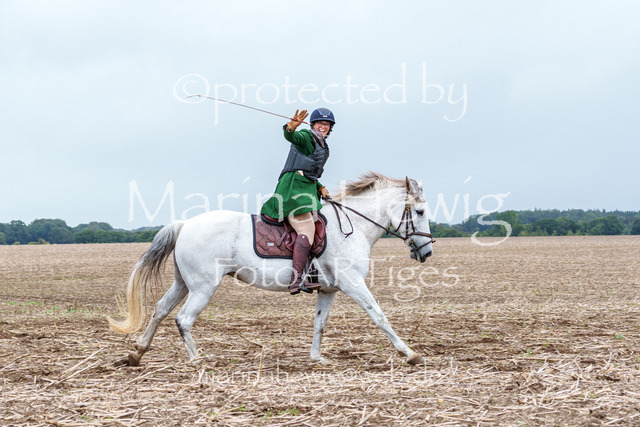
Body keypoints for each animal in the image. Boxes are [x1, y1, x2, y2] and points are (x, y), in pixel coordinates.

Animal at [108, 172, 434, 366]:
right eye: (419, 211)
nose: (427, 252)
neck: (352, 227)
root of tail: (184, 223)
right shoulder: (353, 283)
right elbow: (378, 315)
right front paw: (409, 353)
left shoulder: (328, 289)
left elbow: (319, 323)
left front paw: (317, 358)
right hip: (202, 287)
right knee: (183, 319)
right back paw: (198, 360)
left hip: (183, 283)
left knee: (160, 310)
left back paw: (137, 353)